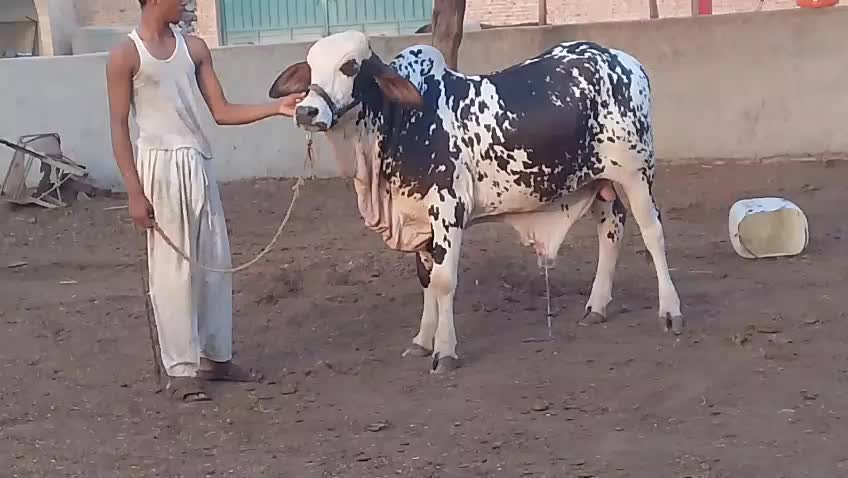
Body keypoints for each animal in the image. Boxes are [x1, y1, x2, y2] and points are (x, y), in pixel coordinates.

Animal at [268, 30, 684, 373]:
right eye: (310, 67)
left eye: (350, 66)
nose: (306, 111)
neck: (402, 124)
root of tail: (623, 60)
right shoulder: (420, 222)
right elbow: (427, 281)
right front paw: (422, 341)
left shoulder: (448, 211)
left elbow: (444, 282)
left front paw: (444, 351)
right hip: (600, 183)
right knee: (611, 231)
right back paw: (596, 307)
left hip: (635, 174)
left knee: (652, 233)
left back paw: (670, 312)